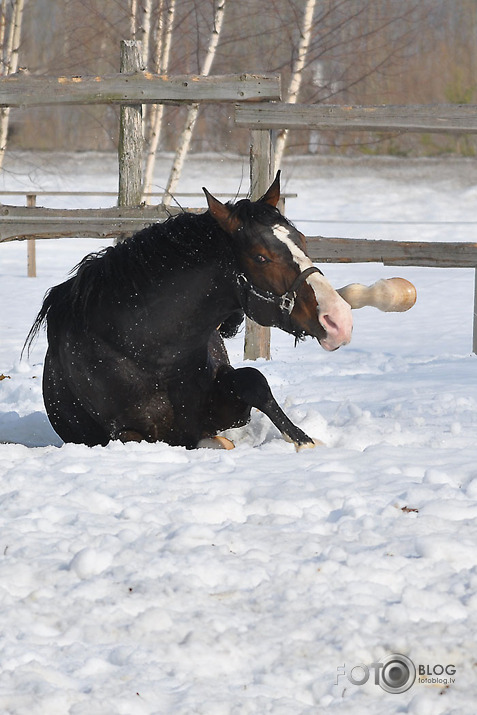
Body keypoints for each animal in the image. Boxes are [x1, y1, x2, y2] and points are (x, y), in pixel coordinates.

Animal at [27, 173, 354, 450]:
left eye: (302, 240)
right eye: (260, 257)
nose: (339, 320)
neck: (148, 353)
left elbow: (254, 381)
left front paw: (304, 440)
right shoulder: (126, 434)